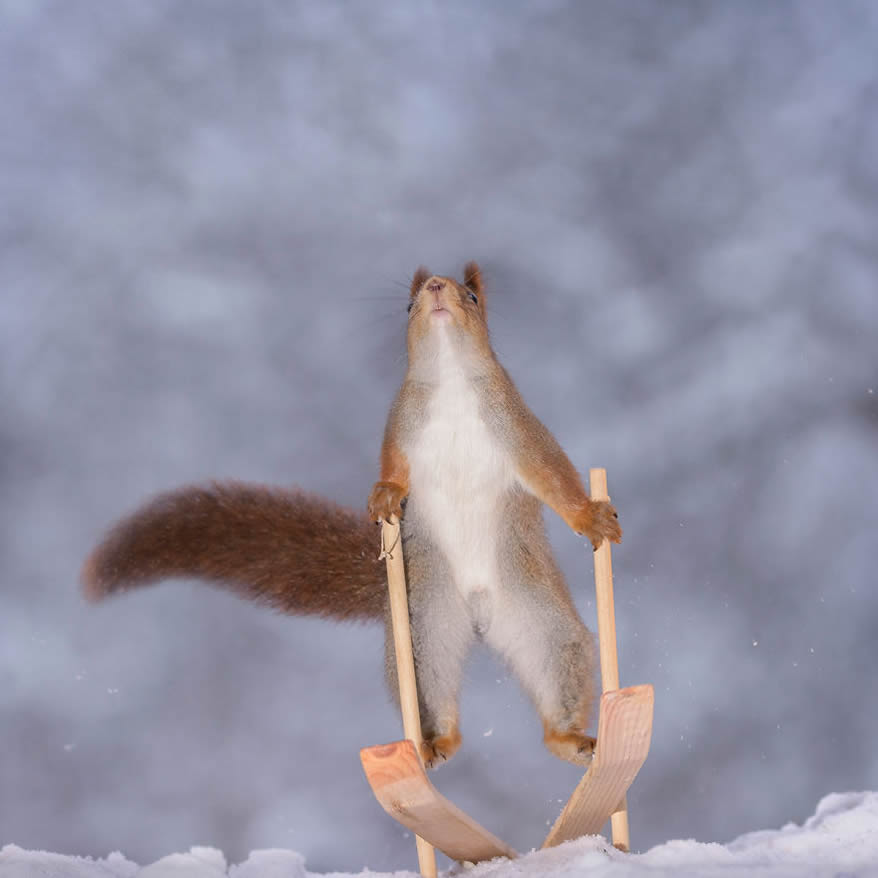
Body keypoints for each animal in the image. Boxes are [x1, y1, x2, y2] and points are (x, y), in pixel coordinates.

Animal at [81, 266, 620, 768]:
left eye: (471, 296)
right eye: (408, 303)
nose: (437, 287)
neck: (449, 381)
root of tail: (479, 614)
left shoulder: (518, 426)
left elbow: (552, 476)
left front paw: (592, 519)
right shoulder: (399, 428)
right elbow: (393, 471)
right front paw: (384, 499)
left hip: (544, 623)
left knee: (557, 677)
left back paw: (572, 740)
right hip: (423, 632)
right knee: (433, 694)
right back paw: (434, 745)